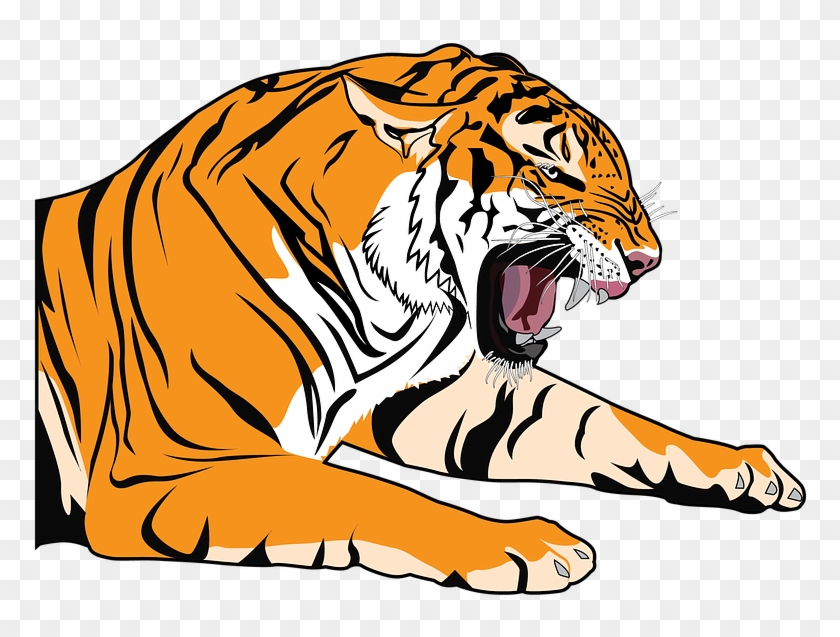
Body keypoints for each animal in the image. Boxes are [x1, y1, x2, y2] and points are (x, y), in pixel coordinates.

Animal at [36, 44, 805, 594]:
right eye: (558, 171)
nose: (649, 259)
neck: (390, 306)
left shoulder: (425, 392)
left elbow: (596, 418)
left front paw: (743, 465)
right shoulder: (171, 461)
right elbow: (362, 492)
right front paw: (527, 543)